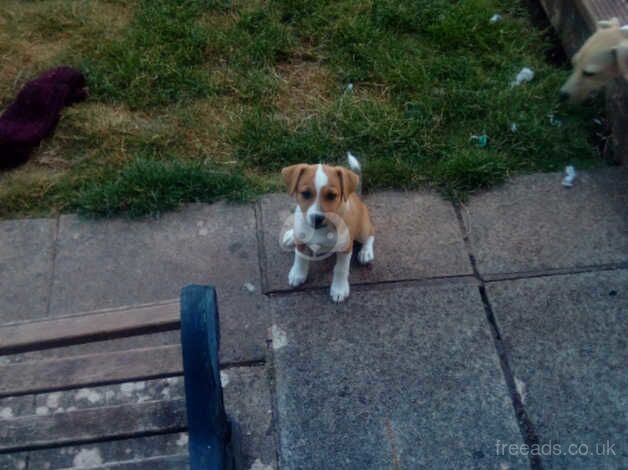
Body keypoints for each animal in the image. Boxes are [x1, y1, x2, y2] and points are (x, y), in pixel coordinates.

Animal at [282, 152, 376, 302]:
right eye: (305, 193)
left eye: (331, 196)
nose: (317, 219)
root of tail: (355, 195)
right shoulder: (301, 240)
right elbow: (300, 257)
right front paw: (297, 274)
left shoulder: (345, 248)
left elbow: (341, 269)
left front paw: (339, 289)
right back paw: (291, 236)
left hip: (363, 229)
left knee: (371, 234)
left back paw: (366, 252)